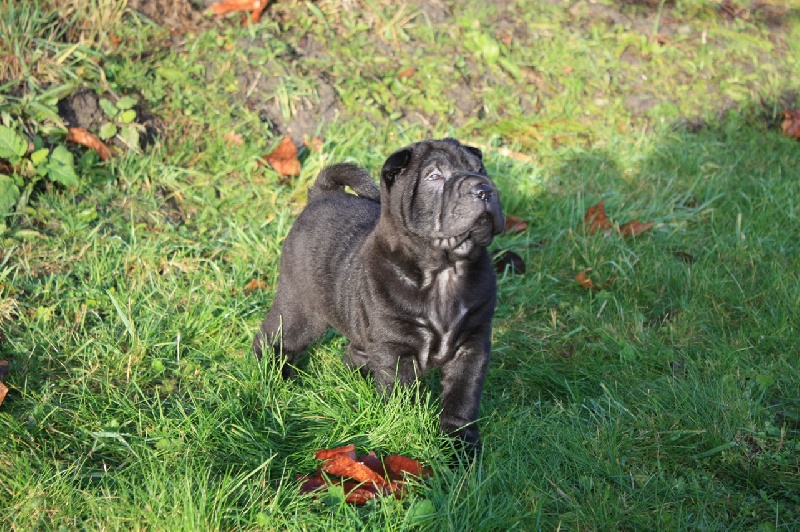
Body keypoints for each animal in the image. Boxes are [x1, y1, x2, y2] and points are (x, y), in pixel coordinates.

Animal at [253, 138, 504, 449]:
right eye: (435, 176)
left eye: (480, 170)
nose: (483, 189)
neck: (445, 271)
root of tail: (321, 195)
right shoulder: (394, 347)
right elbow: (401, 396)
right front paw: (407, 432)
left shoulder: (472, 345)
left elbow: (462, 399)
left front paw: (460, 443)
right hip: (301, 311)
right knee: (275, 338)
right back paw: (274, 377)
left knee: (354, 351)